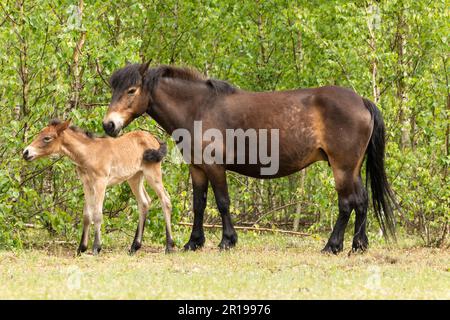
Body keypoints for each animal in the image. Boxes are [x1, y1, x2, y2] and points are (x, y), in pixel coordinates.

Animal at [22, 119, 174, 256]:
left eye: (47, 138)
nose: (26, 152)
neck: (89, 153)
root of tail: (154, 138)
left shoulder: (100, 182)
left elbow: (97, 214)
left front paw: (96, 248)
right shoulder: (87, 184)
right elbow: (86, 215)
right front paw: (81, 248)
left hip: (152, 173)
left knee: (165, 200)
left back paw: (169, 246)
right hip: (135, 177)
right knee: (144, 202)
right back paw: (134, 247)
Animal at [103, 62, 398, 254]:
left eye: (131, 90)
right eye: (114, 89)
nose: (109, 125)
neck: (199, 108)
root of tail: (361, 101)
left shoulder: (214, 166)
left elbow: (222, 202)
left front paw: (227, 241)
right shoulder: (197, 168)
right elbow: (199, 204)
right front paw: (193, 242)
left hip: (342, 168)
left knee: (347, 203)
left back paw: (332, 246)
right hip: (352, 168)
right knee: (362, 201)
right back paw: (358, 245)